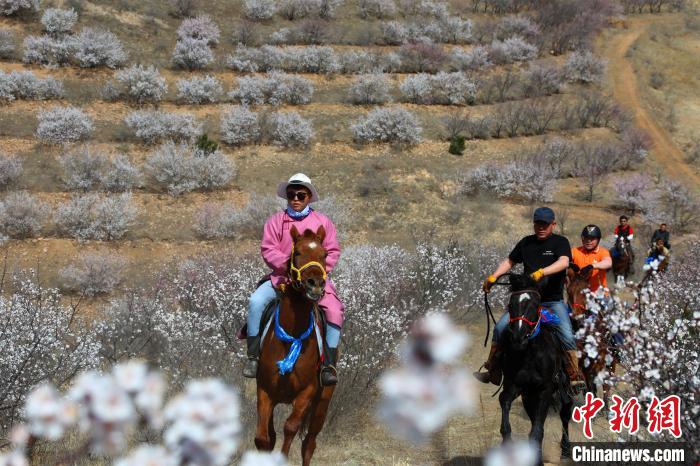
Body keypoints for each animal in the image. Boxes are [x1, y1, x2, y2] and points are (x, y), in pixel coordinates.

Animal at [254, 224, 336, 464]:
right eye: (297, 252)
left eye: (325, 254)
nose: (315, 284)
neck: (292, 336)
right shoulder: (265, 391)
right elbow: (263, 439)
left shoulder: (306, 394)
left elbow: (290, 428)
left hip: (321, 404)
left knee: (309, 443)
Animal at [494, 274, 572, 466]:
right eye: (511, 305)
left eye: (536, 305)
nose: (518, 337)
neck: (530, 354)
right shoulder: (514, 386)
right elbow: (504, 402)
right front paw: (507, 442)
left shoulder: (545, 390)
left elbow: (537, 432)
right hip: (529, 395)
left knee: (566, 411)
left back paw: (566, 449)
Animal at [564, 266, 616, 412]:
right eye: (569, 291)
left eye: (586, 291)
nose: (577, 315)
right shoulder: (583, 363)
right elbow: (588, 387)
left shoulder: (600, 360)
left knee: (607, 382)